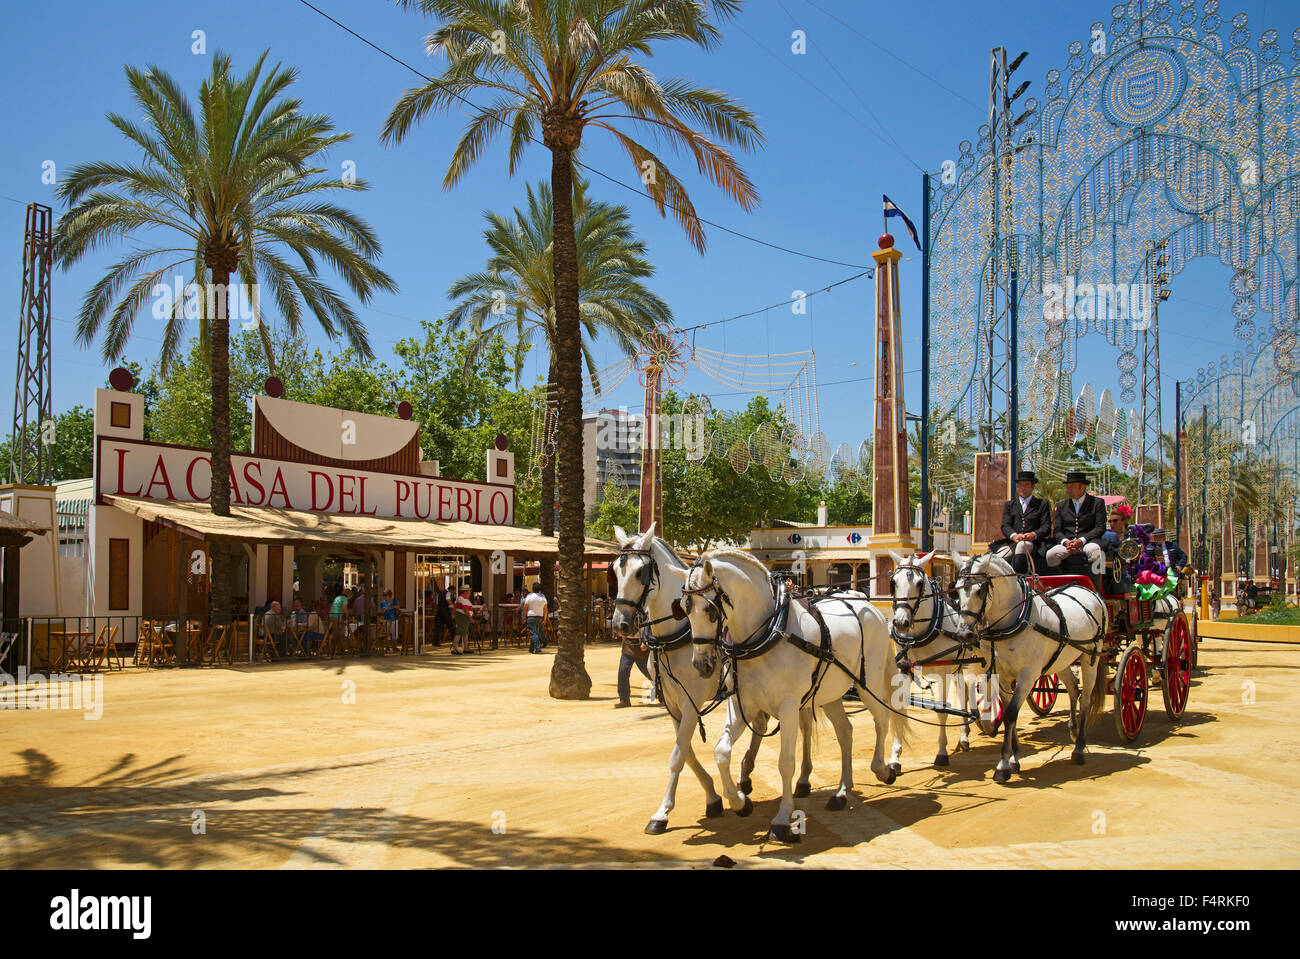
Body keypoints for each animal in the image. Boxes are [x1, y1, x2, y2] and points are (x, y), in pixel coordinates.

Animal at [608, 522, 811, 831]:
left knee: (806, 726)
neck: (675, 635)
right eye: (614, 571)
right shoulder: (672, 703)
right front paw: (713, 797)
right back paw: (745, 775)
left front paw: (663, 812)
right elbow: (687, 753)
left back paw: (802, 780)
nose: (621, 623)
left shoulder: (691, 701)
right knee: (760, 723)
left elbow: (678, 754)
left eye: (640, 572)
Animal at [681, 548, 904, 842]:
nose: (701, 665)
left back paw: (883, 768)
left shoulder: (788, 706)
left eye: (710, 610)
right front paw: (740, 802)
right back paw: (842, 792)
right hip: (831, 693)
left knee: (882, 719)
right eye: (684, 608)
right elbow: (721, 753)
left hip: (869, 684)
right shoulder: (742, 706)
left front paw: (782, 819)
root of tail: (872, 609)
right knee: (846, 732)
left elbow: (785, 763)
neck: (768, 632)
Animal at [956, 553, 1107, 779]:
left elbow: (1011, 714)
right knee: (1073, 689)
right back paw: (1072, 729)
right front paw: (1013, 759)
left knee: (1086, 699)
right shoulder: (1002, 675)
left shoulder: (1028, 675)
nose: (964, 634)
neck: (1014, 620)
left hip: (1091, 657)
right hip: (1062, 659)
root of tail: (1087, 591)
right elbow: (1010, 713)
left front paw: (1003, 765)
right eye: (956, 590)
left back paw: (1079, 748)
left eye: (979, 590)